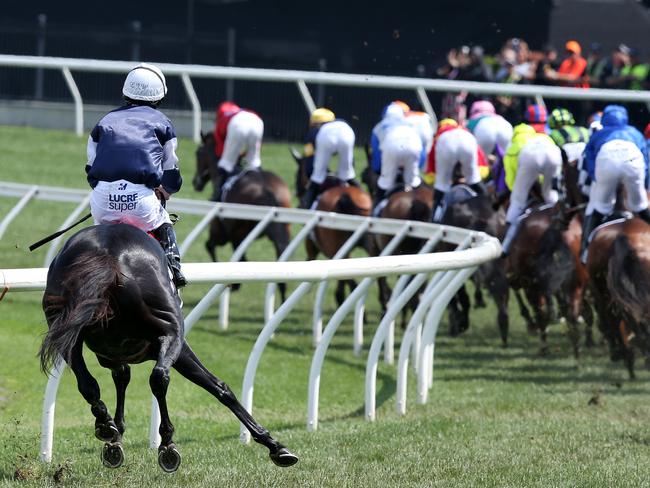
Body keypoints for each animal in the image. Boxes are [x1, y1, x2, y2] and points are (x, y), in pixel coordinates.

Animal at [41, 225, 300, 472]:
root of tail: (105, 254)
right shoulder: (177, 347)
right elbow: (219, 387)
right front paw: (274, 445)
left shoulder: (114, 354)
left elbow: (120, 379)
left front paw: (114, 437)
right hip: (170, 332)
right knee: (159, 377)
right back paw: (166, 444)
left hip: (64, 330)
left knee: (88, 384)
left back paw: (106, 424)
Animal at [192, 132, 292, 298]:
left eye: (198, 153)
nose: (196, 183)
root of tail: (265, 188)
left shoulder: (223, 232)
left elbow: (211, 246)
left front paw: (232, 283)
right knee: (282, 250)